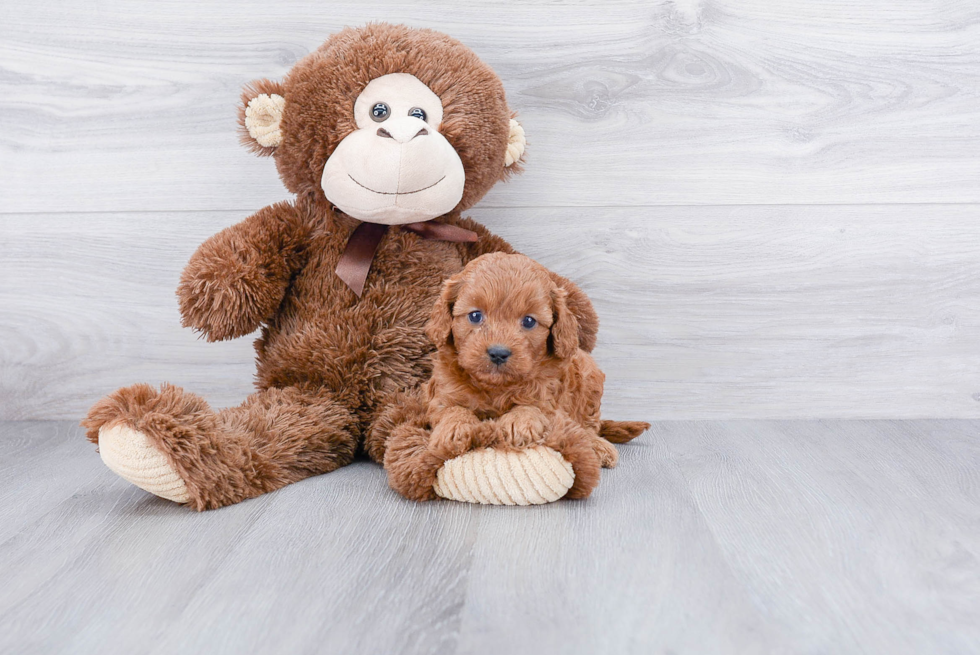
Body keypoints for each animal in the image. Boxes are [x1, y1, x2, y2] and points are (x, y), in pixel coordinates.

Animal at [378, 254, 648, 500]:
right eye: (475, 316)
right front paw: (454, 428)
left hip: (590, 377)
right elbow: (451, 409)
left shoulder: (551, 398)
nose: (498, 352)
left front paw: (519, 422)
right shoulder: (441, 394)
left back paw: (598, 446)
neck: (496, 387)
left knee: (590, 426)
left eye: (528, 321)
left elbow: (534, 407)